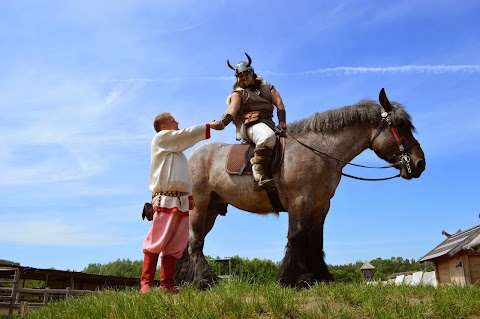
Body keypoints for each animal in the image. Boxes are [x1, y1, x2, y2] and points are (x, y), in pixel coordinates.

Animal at [174, 89, 426, 288]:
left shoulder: (320, 206)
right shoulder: (300, 200)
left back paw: (184, 280)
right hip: (200, 205)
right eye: (399, 127)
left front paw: (321, 277)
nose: (419, 163)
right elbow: (297, 236)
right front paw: (295, 279)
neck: (319, 149)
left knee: (190, 242)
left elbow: (315, 240)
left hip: (211, 210)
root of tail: (191, 157)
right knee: (195, 242)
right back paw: (204, 281)